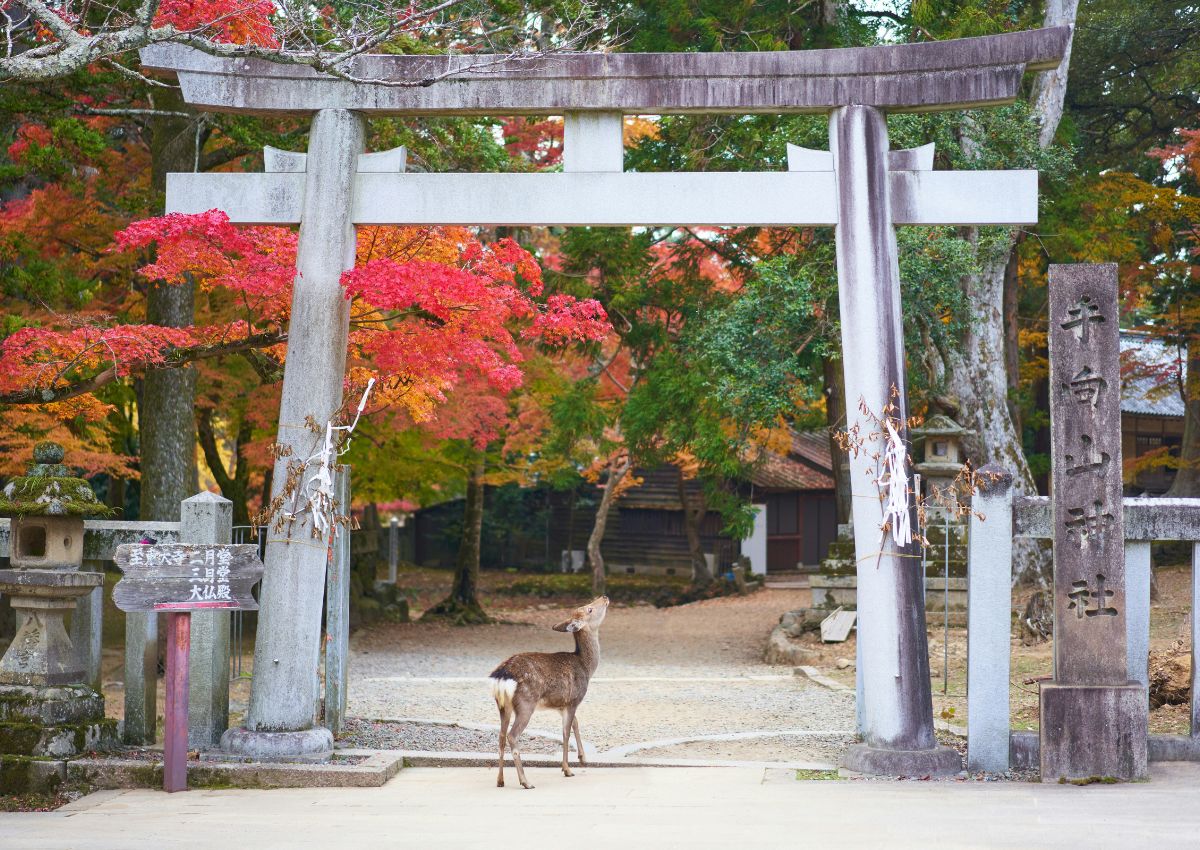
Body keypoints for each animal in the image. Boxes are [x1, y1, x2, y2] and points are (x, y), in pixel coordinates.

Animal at [487, 595, 609, 787]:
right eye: (589, 609)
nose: (604, 597)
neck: (586, 667)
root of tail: (501, 676)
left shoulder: (560, 704)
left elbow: (575, 723)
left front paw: (583, 759)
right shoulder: (574, 699)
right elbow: (566, 733)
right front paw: (567, 769)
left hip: (502, 706)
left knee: (500, 735)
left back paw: (500, 780)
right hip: (525, 703)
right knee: (512, 736)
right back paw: (525, 782)